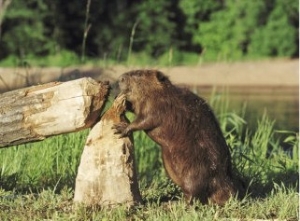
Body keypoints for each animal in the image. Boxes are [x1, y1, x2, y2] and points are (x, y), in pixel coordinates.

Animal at [112, 69, 244, 205]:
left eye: (138, 74)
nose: (120, 78)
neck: (162, 93)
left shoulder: (160, 106)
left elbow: (145, 120)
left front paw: (121, 128)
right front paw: (120, 100)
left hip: (195, 173)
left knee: (195, 194)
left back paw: (175, 203)